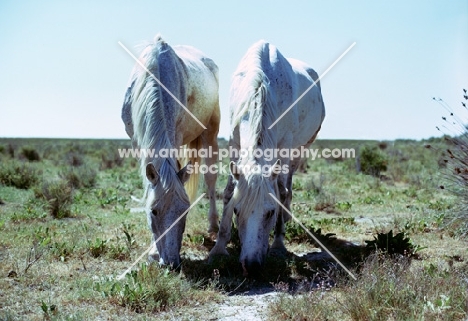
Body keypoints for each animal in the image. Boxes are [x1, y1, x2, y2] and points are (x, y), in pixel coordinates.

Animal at [122, 33, 221, 266]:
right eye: (154, 211)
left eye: (184, 213)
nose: (172, 263)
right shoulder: (136, 140)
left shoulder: (174, 137)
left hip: (210, 132)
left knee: (210, 177)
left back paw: (213, 225)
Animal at [209, 40, 326, 276]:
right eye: (236, 211)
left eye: (270, 213)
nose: (252, 266)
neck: (260, 86)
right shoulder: (235, 143)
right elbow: (228, 191)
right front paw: (218, 247)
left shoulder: (285, 147)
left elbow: (281, 192)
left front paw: (279, 244)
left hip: (300, 149)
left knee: (288, 184)